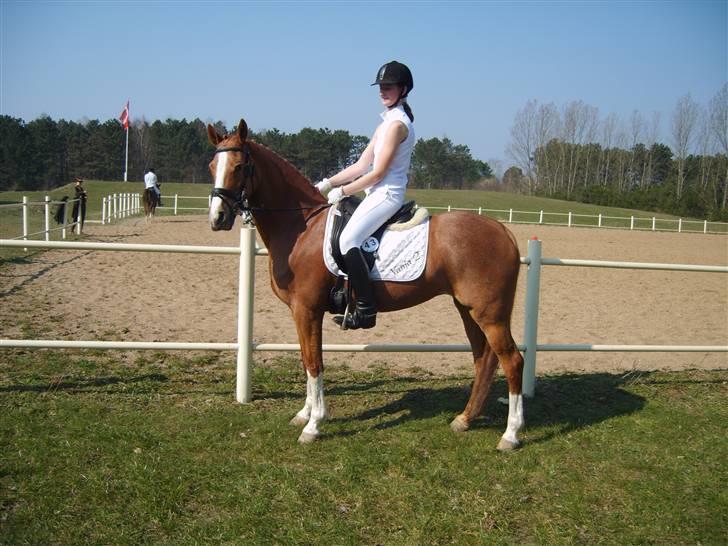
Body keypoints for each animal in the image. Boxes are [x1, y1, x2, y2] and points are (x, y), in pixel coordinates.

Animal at [207, 119, 525, 450]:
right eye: (212, 166)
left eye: (240, 167)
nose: (218, 218)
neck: (302, 226)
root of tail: (503, 231)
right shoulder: (301, 312)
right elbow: (307, 359)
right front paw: (304, 414)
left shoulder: (307, 310)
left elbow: (314, 363)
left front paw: (314, 424)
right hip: (468, 309)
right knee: (484, 359)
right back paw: (465, 419)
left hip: (489, 314)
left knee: (512, 361)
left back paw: (511, 434)